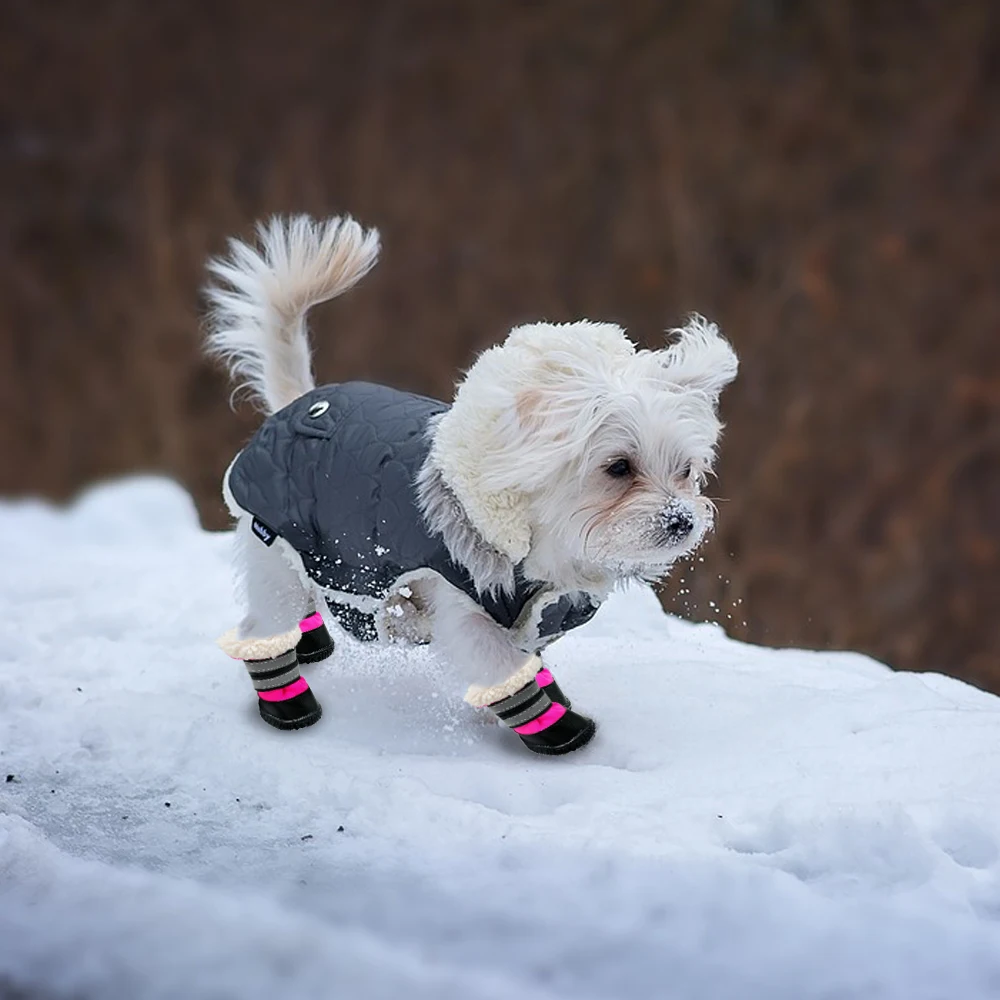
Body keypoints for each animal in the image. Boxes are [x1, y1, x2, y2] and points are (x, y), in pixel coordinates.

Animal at [205, 215, 736, 752]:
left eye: (686, 471)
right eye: (619, 467)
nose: (682, 520)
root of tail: (296, 405)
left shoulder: (531, 614)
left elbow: (528, 661)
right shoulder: (463, 607)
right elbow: (504, 669)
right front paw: (556, 730)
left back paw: (315, 640)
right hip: (276, 549)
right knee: (262, 625)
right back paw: (288, 700)